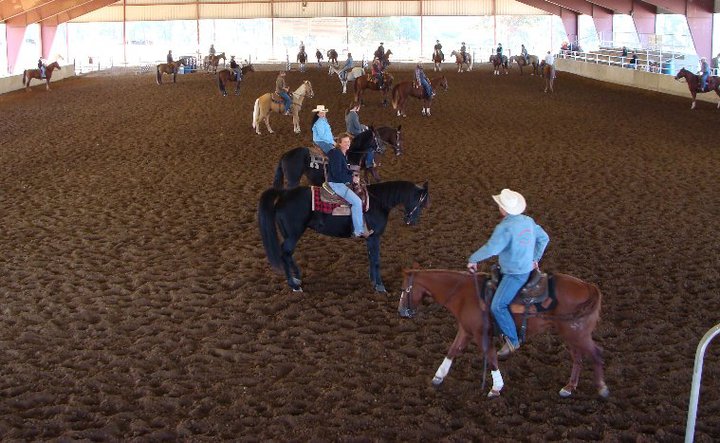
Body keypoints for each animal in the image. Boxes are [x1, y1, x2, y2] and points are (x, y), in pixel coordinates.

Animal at [258, 180, 428, 292]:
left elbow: (370, 258)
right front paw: (380, 286)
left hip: (289, 234)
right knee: (285, 253)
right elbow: (376, 260)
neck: (377, 202)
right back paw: (294, 285)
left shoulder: (369, 238)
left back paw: (297, 277)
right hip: (293, 234)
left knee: (287, 254)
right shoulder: (375, 237)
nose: (411, 221)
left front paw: (373, 281)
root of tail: (284, 193)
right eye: (420, 201)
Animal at [396, 268, 612, 400]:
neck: (464, 294)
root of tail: (589, 287)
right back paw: (569, 387)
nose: (401, 311)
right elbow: (452, 351)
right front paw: (438, 377)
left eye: (404, 289)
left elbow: (491, 357)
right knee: (578, 357)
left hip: (576, 334)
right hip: (571, 335)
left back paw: (601, 387)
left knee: (596, 353)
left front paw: (496, 388)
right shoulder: (466, 330)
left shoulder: (480, 334)